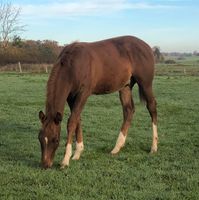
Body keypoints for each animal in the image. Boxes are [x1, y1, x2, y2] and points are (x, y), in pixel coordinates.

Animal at [38, 35, 158, 169]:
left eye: (56, 140)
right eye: (40, 138)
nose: (45, 164)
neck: (73, 65)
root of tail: (147, 47)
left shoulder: (84, 93)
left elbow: (72, 121)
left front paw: (65, 160)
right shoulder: (71, 96)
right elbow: (77, 119)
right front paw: (77, 153)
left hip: (146, 83)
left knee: (152, 107)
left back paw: (154, 147)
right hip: (125, 86)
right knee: (128, 111)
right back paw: (117, 148)